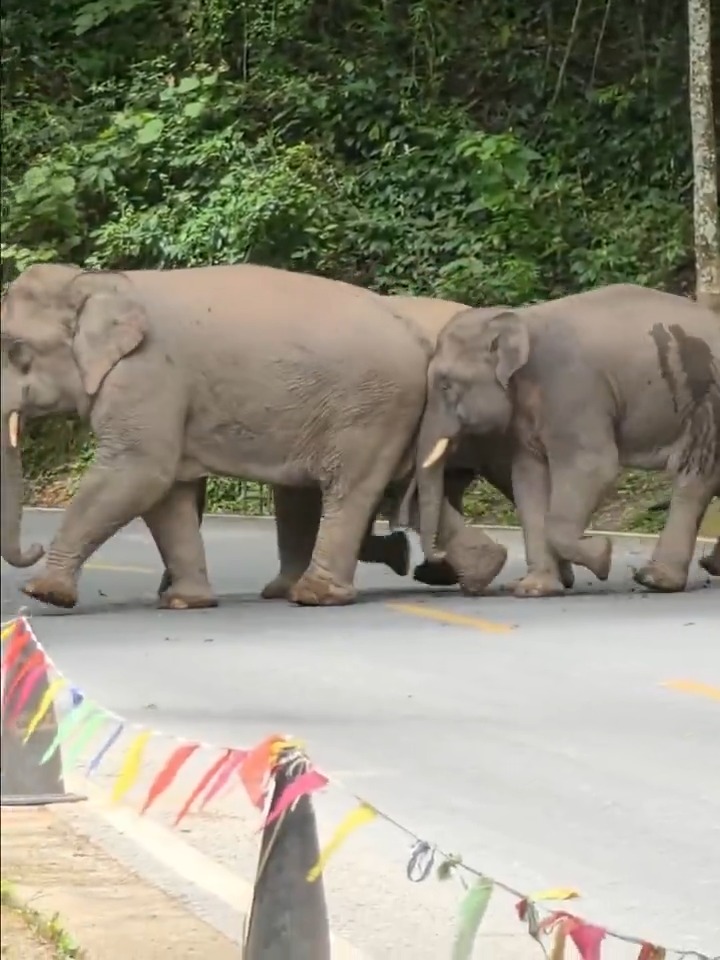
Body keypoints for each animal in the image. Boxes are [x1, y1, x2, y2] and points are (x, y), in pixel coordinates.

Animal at [1, 262, 508, 610]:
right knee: (401, 489)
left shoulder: (147, 376)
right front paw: (186, 602)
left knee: (352, 488)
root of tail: (416, 335)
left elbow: (139, 472)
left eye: (15, 349)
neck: (99, 282)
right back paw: (483, 570)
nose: (33, 547)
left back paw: (314, 595)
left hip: (371, 407)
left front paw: (43, 593)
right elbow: (167, 492)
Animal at [410, 283, 720, 596]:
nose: (431, 565)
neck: (520, 320)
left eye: (445, 384)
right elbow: (528, 480)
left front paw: (602, 555)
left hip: (705, 403)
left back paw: (654, 579)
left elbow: (593, 467)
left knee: (692, 479)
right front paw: (535, 589)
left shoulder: (573, 392)